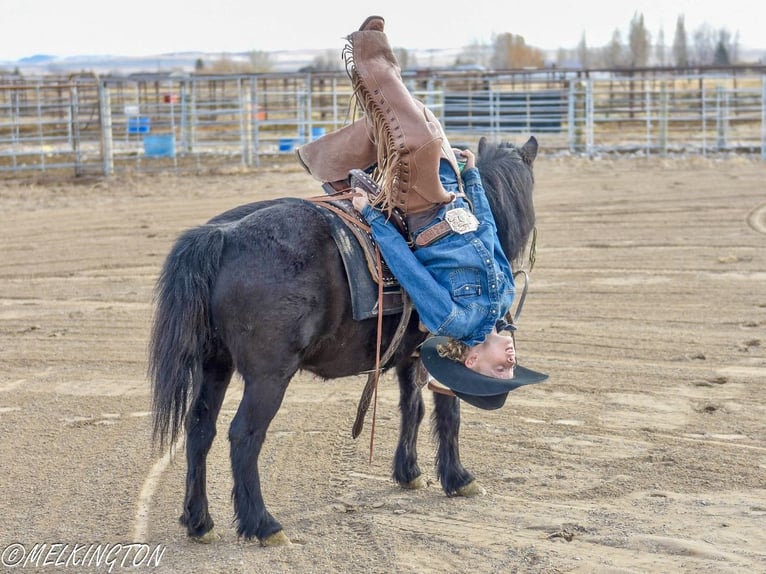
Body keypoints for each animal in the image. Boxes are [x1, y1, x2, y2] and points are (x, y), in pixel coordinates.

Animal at [147, 135, 536, 544]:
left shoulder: (410, 356)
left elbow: (411, 408)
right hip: (268, 378)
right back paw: (263, 523)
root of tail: (223, 236)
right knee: (244, 436)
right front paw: (458, 478)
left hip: (215, 365)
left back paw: (199, 521)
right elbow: (449, 413)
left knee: (199, 429)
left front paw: (409, 472)